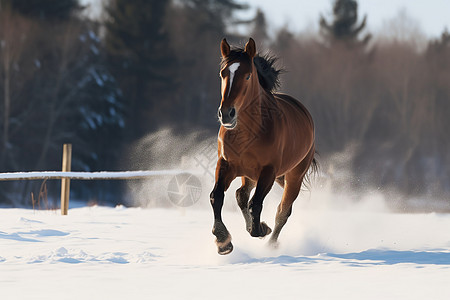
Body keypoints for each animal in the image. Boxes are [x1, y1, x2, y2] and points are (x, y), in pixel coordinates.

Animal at [210, 36, 318, 254]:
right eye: (223, 73)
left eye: (248, 76)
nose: (226, 114)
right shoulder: (225, 164)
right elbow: (217, 196)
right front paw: (223, 241)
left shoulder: (268, 171)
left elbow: (256, 204)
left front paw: (260, 229)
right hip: (248, 174)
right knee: (241, 194)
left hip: (293, 176)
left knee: (283, 211)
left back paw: (271, 243)